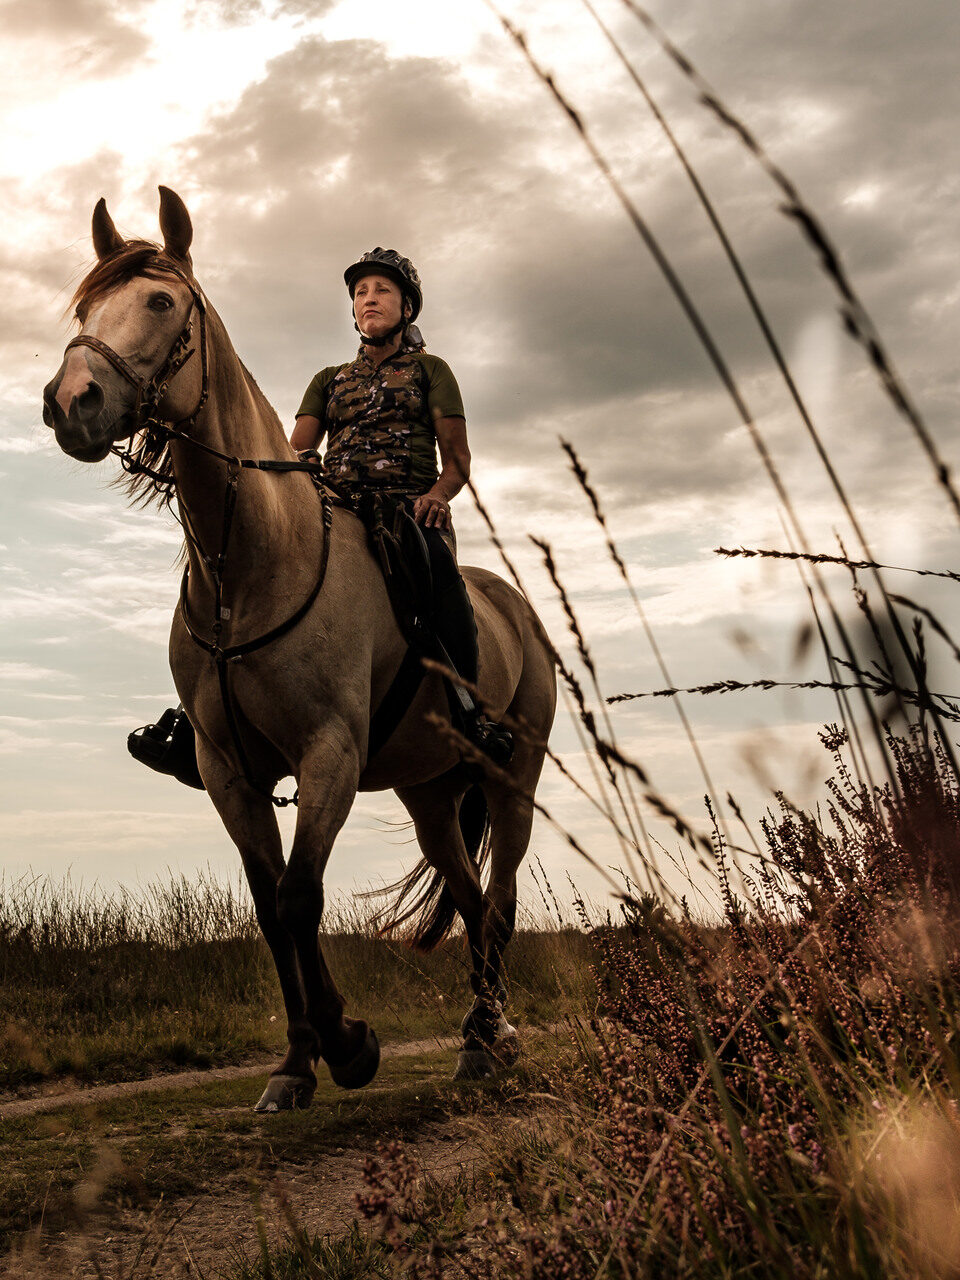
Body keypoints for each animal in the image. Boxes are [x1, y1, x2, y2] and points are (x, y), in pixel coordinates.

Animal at [41, 186, 560, 1111]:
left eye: (161, 302)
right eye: (83, 307)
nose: (72, 403)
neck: (251, 565)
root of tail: (516, 609)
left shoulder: (328, 755)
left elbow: (297, 897)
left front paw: (349, 1046)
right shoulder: (227, 770)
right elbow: (267, 905)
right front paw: (295, 1062)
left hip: (511, 780)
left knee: (497, 902)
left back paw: (493, 1038)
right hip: (430, 793)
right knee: (468, 899)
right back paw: (474, 1038)